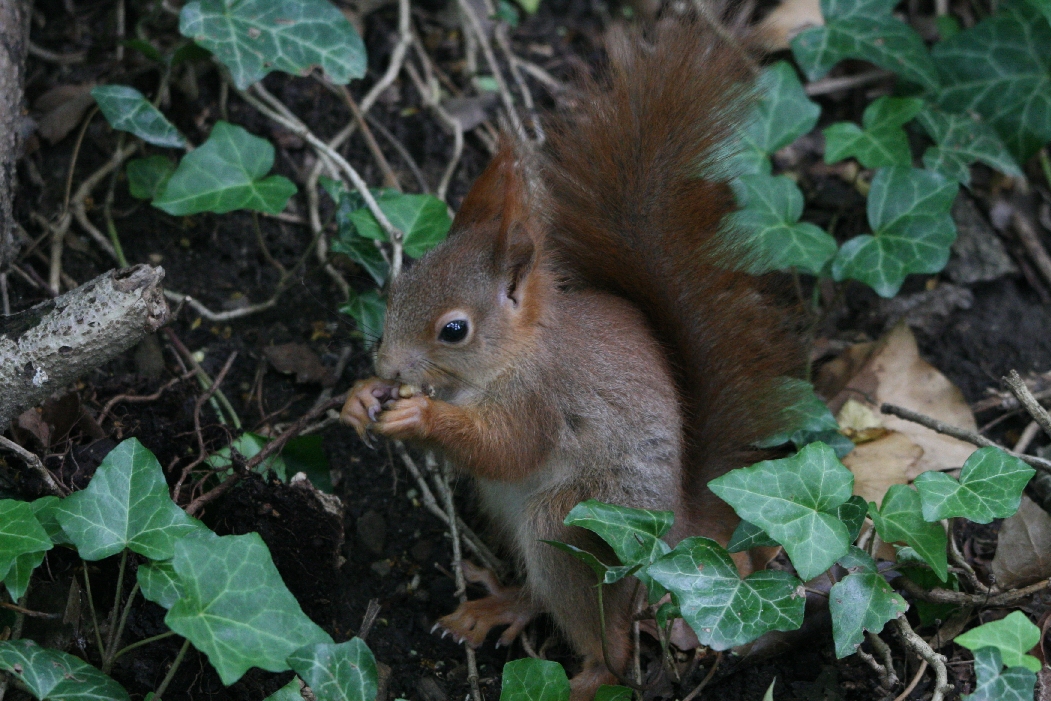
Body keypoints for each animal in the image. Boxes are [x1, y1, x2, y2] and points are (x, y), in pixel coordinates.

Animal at [341, 19, 803, 699]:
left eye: (454, 330)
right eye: (396, 287)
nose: (392, 368)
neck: (503, 364)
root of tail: (681, 527)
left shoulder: (541, 401)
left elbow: (505, 449)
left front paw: (419, 418)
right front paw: (359, 399)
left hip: (574, 527)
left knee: (607, 636)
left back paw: (585, 679)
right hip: (513, 514)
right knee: (541, 595)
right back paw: (497, 605)